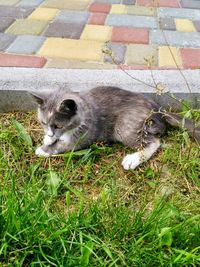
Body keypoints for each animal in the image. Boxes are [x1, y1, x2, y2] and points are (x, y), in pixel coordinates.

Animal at [30, 87, 199, 171]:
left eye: (59, 125)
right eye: (43, 122)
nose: (50, 132)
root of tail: (157, 109)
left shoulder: (82, 136)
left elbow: (63, 145)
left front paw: (43, 149)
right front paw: (48, 138)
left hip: (125, 126)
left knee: (154, 142)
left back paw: (132, 160)